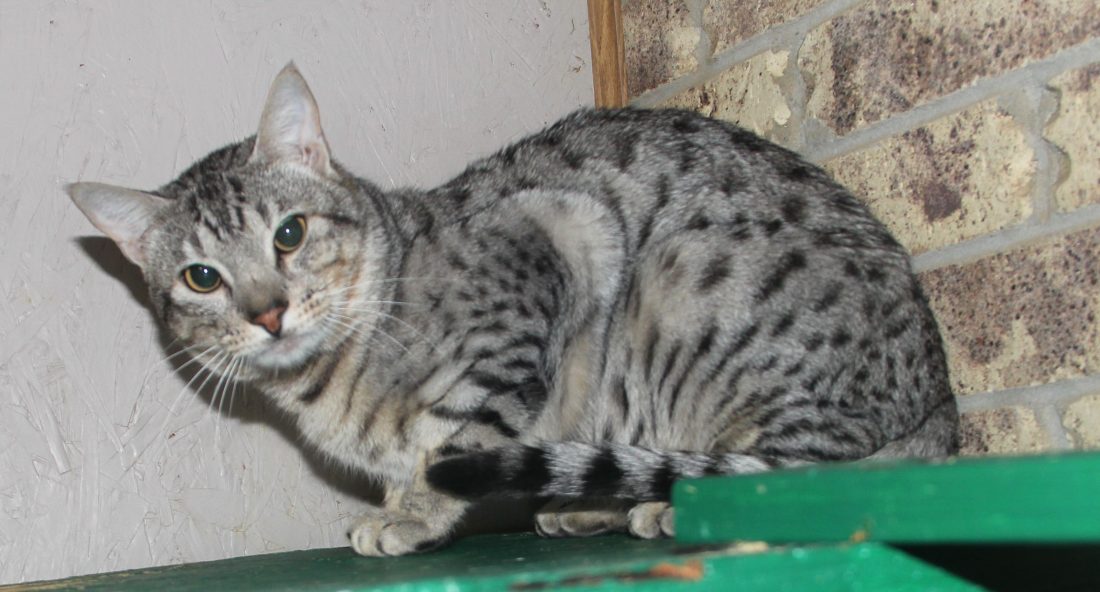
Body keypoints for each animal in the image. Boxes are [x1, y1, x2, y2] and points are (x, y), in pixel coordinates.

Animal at [66, 62, 954, 554]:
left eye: (290, 233)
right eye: (201, 278)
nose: (269, 313)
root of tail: (939, 406)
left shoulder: (550, 242)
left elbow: (458, 438)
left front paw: (412, 514)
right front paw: (397, 503)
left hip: (686, 281)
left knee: (802, 475)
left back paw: (662, 507)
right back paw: (593, 506)